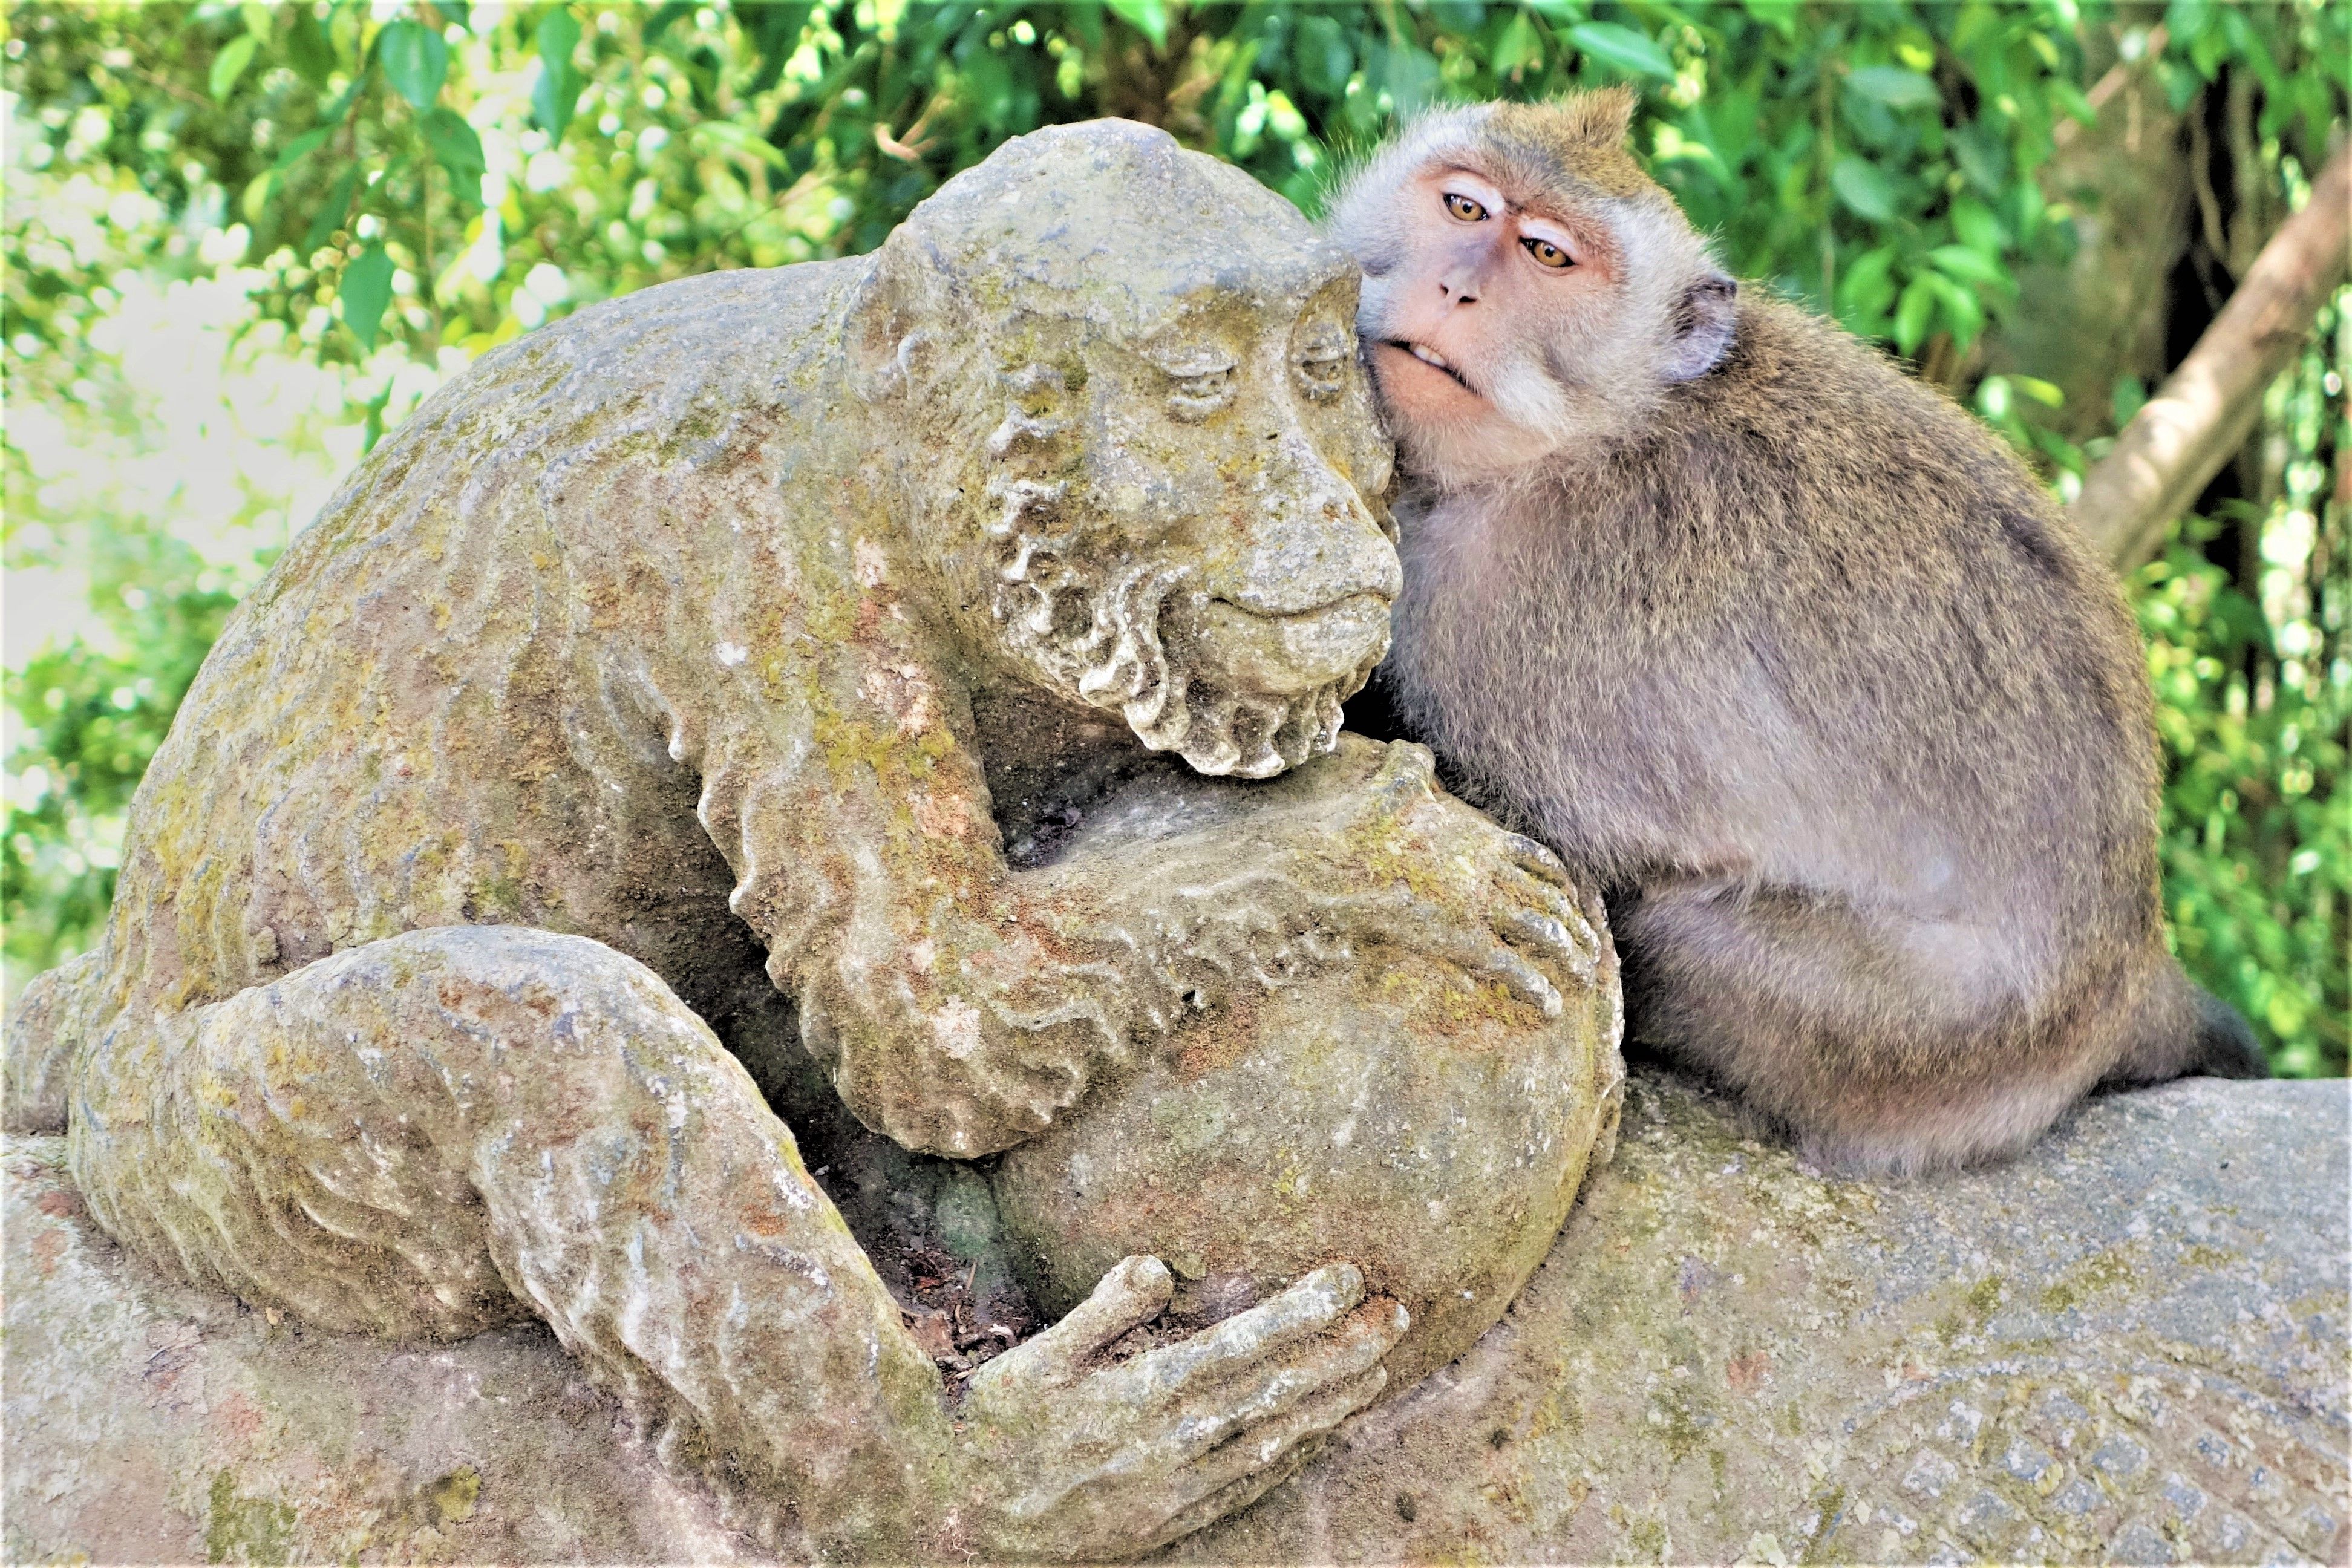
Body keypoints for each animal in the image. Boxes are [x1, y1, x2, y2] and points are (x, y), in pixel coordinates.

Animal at [1324, 89, 2266, 1175]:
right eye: (1466, 207)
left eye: (1549, 256)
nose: (1455, 287)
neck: (1591, 434)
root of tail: (2135, 955)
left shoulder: (1524, 611)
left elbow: (1564, 842)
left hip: (1934, 1038)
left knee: (1678, 937)